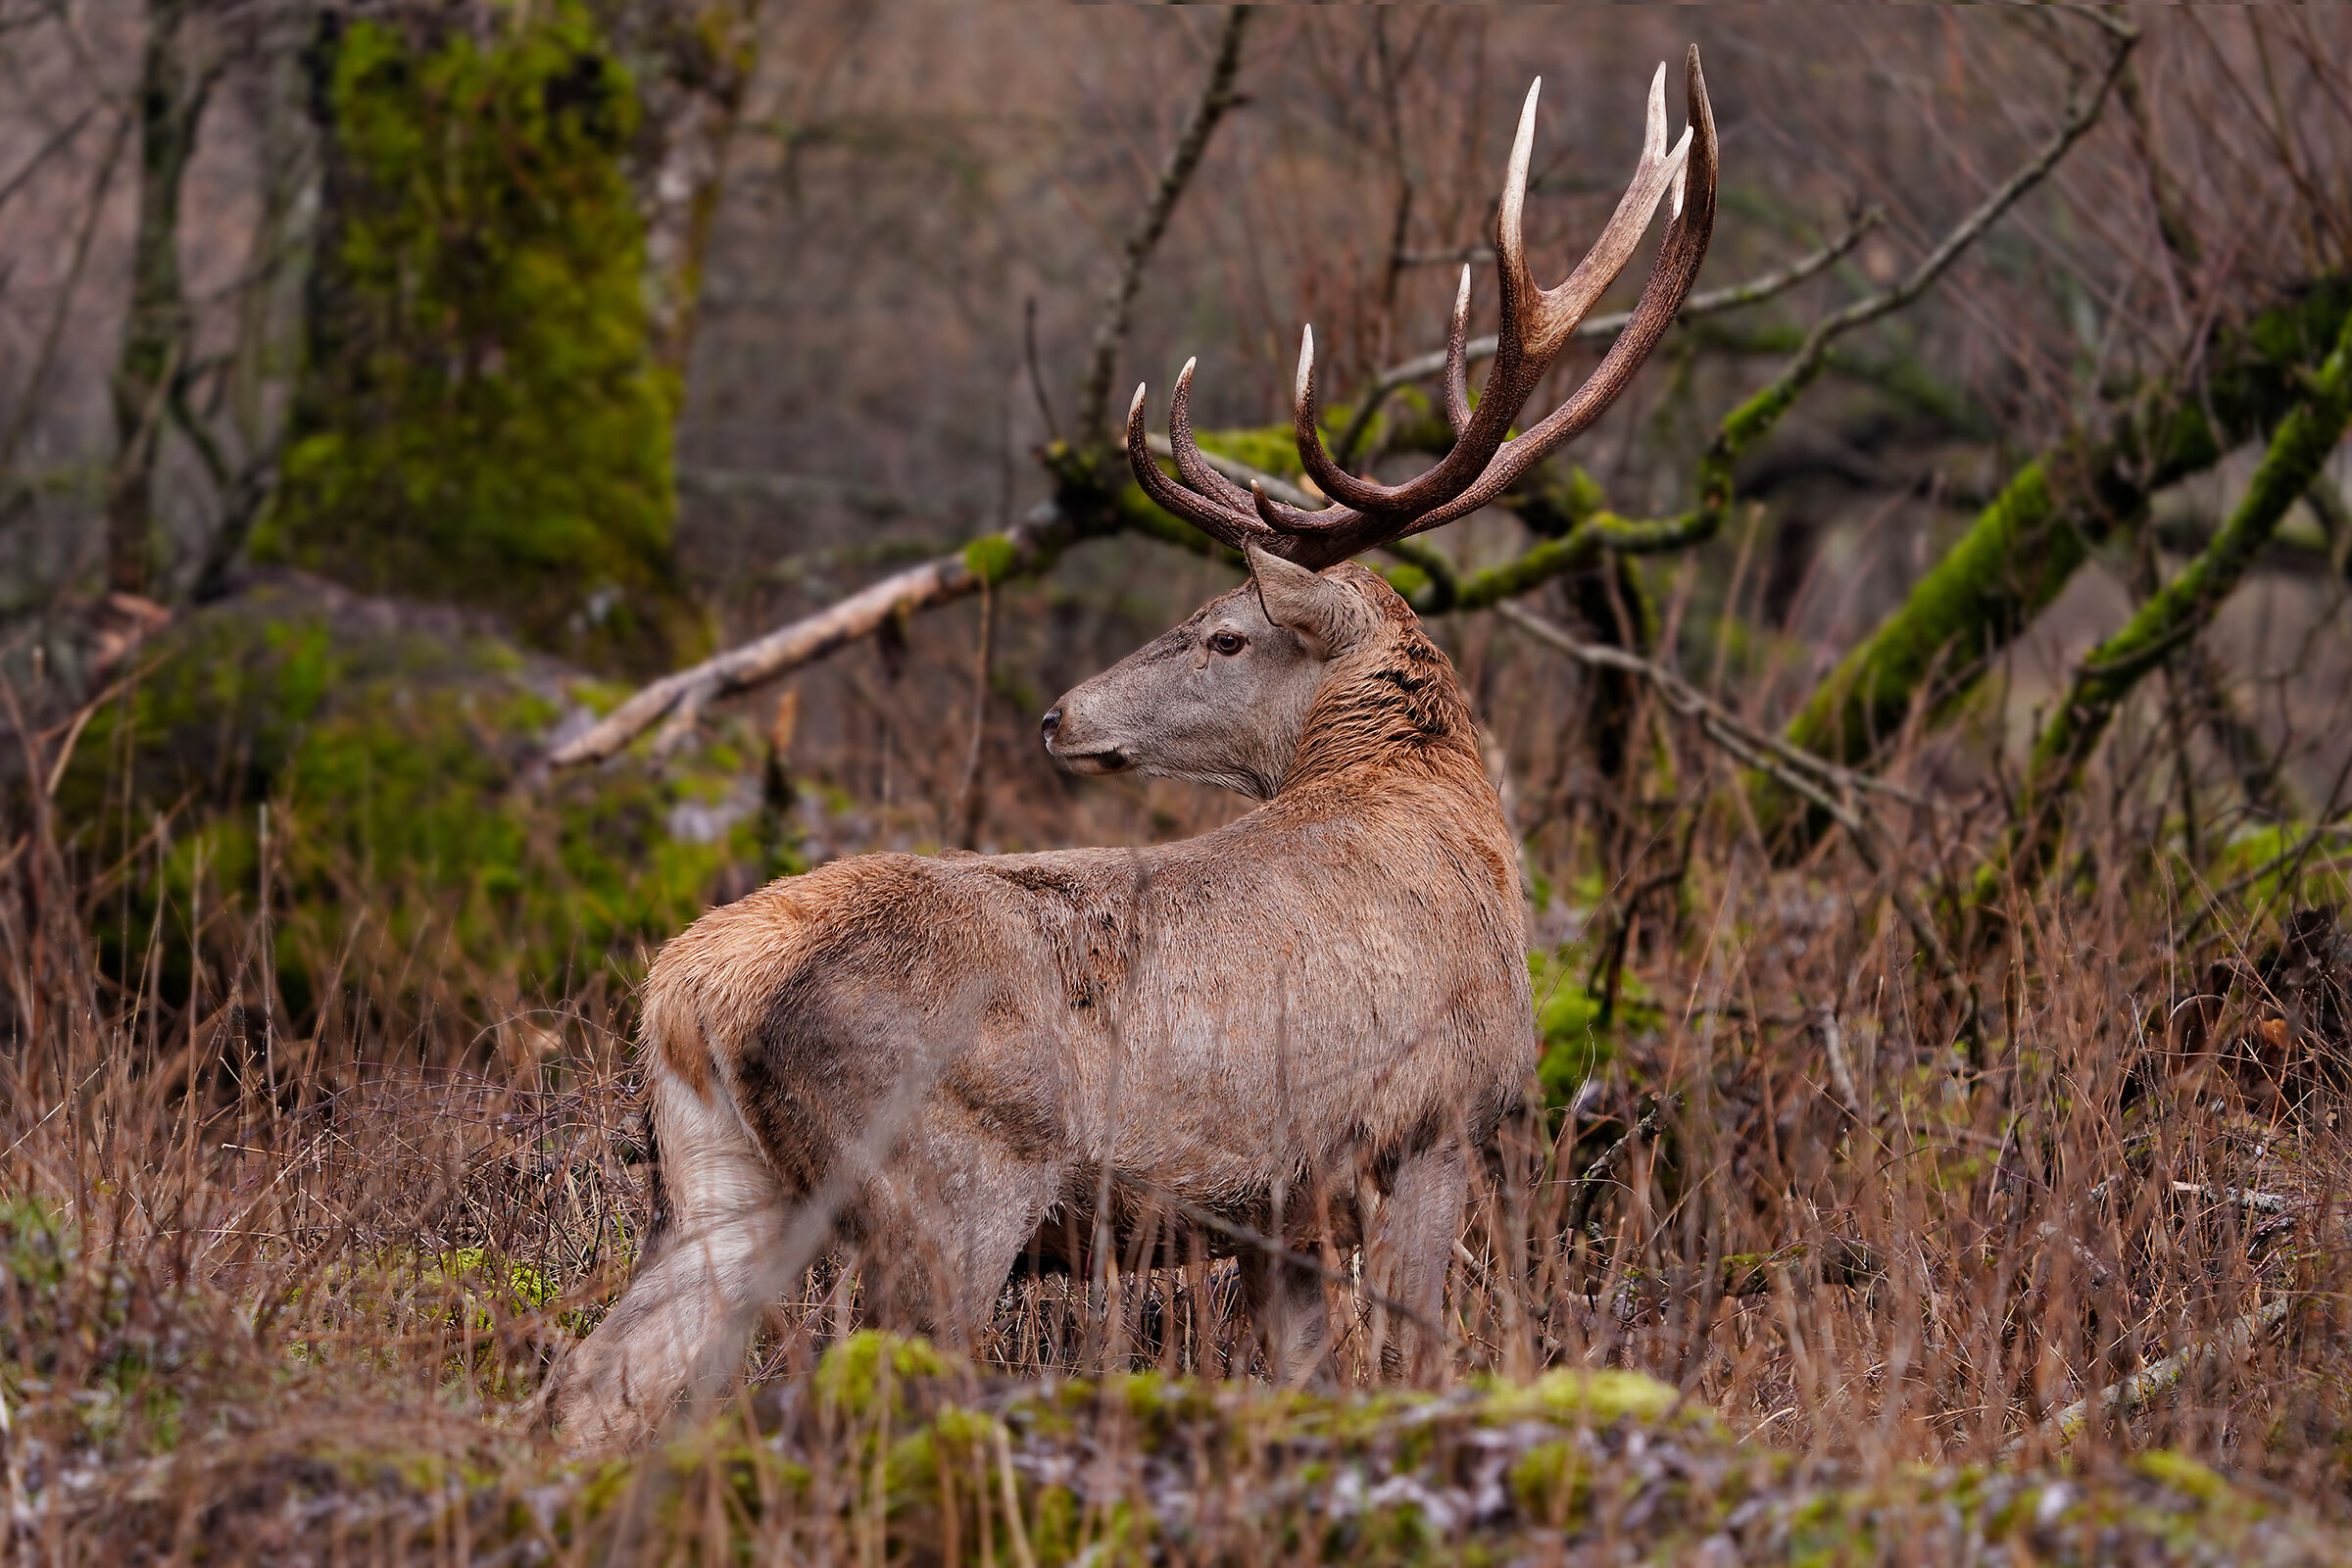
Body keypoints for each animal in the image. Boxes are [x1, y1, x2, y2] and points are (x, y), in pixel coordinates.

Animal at [554, 49, 1715, 1454]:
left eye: (1222, 633)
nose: (1059, 714)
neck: (1455, 839)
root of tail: (696, 988)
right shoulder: (1433, 1125)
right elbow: (1415, 1359)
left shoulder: (1281, 1209)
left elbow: (1303, 1378)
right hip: (944, 1184)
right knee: (873, 1387)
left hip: (718, 1179)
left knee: (598, 1384)